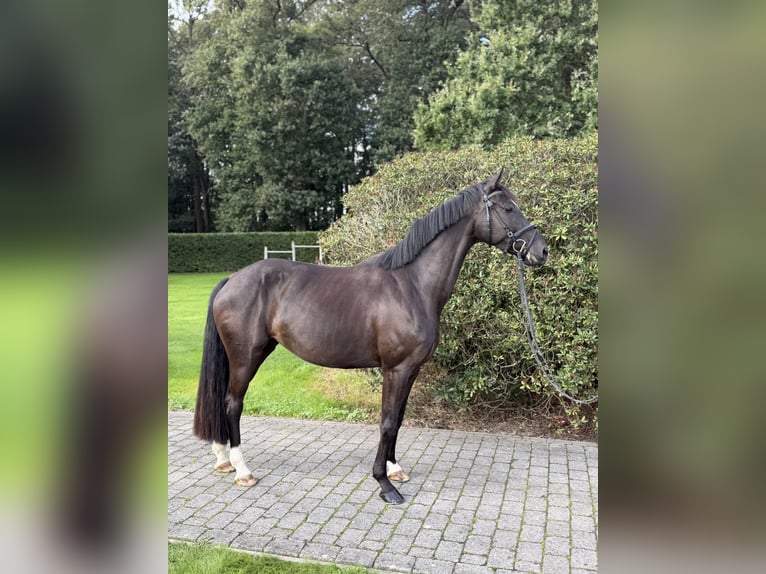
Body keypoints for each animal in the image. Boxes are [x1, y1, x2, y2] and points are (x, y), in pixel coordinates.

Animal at [193, 168, 548, 504]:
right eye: (508, 208)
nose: (541, 251)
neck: (412, 284)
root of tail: (232, 279)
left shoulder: (411, 369)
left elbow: (399, 419)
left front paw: (395, 468)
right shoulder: (396, 368)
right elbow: (387, 422)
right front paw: (384, 484)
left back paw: (223, 459)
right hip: (246, 357)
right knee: (232, 403)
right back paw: (242, 469)